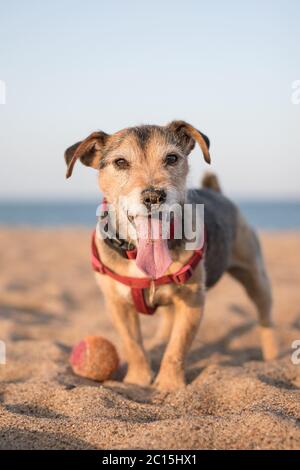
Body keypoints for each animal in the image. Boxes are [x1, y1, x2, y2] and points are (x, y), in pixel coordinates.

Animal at [64, 119, 278, 392]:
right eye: (120, 162)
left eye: (172, 158)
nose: (153, 196)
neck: (138, 252)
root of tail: (217, 192)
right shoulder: (117, 305)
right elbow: (133, 345)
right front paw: (137, 381)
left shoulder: (192, 301)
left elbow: (177, 347)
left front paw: (169, 385)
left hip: (256, 278)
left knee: (265, 318)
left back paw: (272, 359)